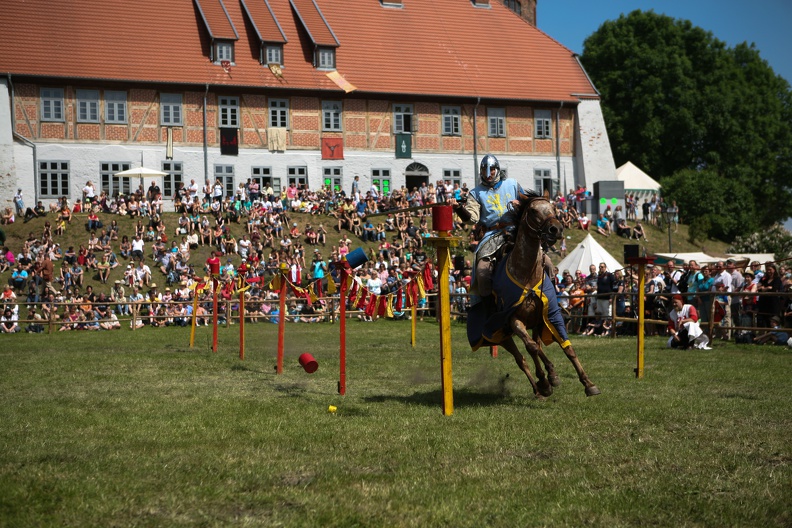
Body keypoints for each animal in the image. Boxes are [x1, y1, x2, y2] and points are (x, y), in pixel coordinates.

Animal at [470, 192, 600, 398]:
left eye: (553, 208)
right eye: (532, 210)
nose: (556, 229)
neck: (527, 275)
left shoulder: (550, 315)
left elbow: (566, 346)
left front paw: (588, 383)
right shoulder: (513, 319)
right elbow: (531, 348)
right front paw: (546, 381)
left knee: (535, 348)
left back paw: (548, 377)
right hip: (503, 336)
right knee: (522, 358)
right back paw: (540, 388)